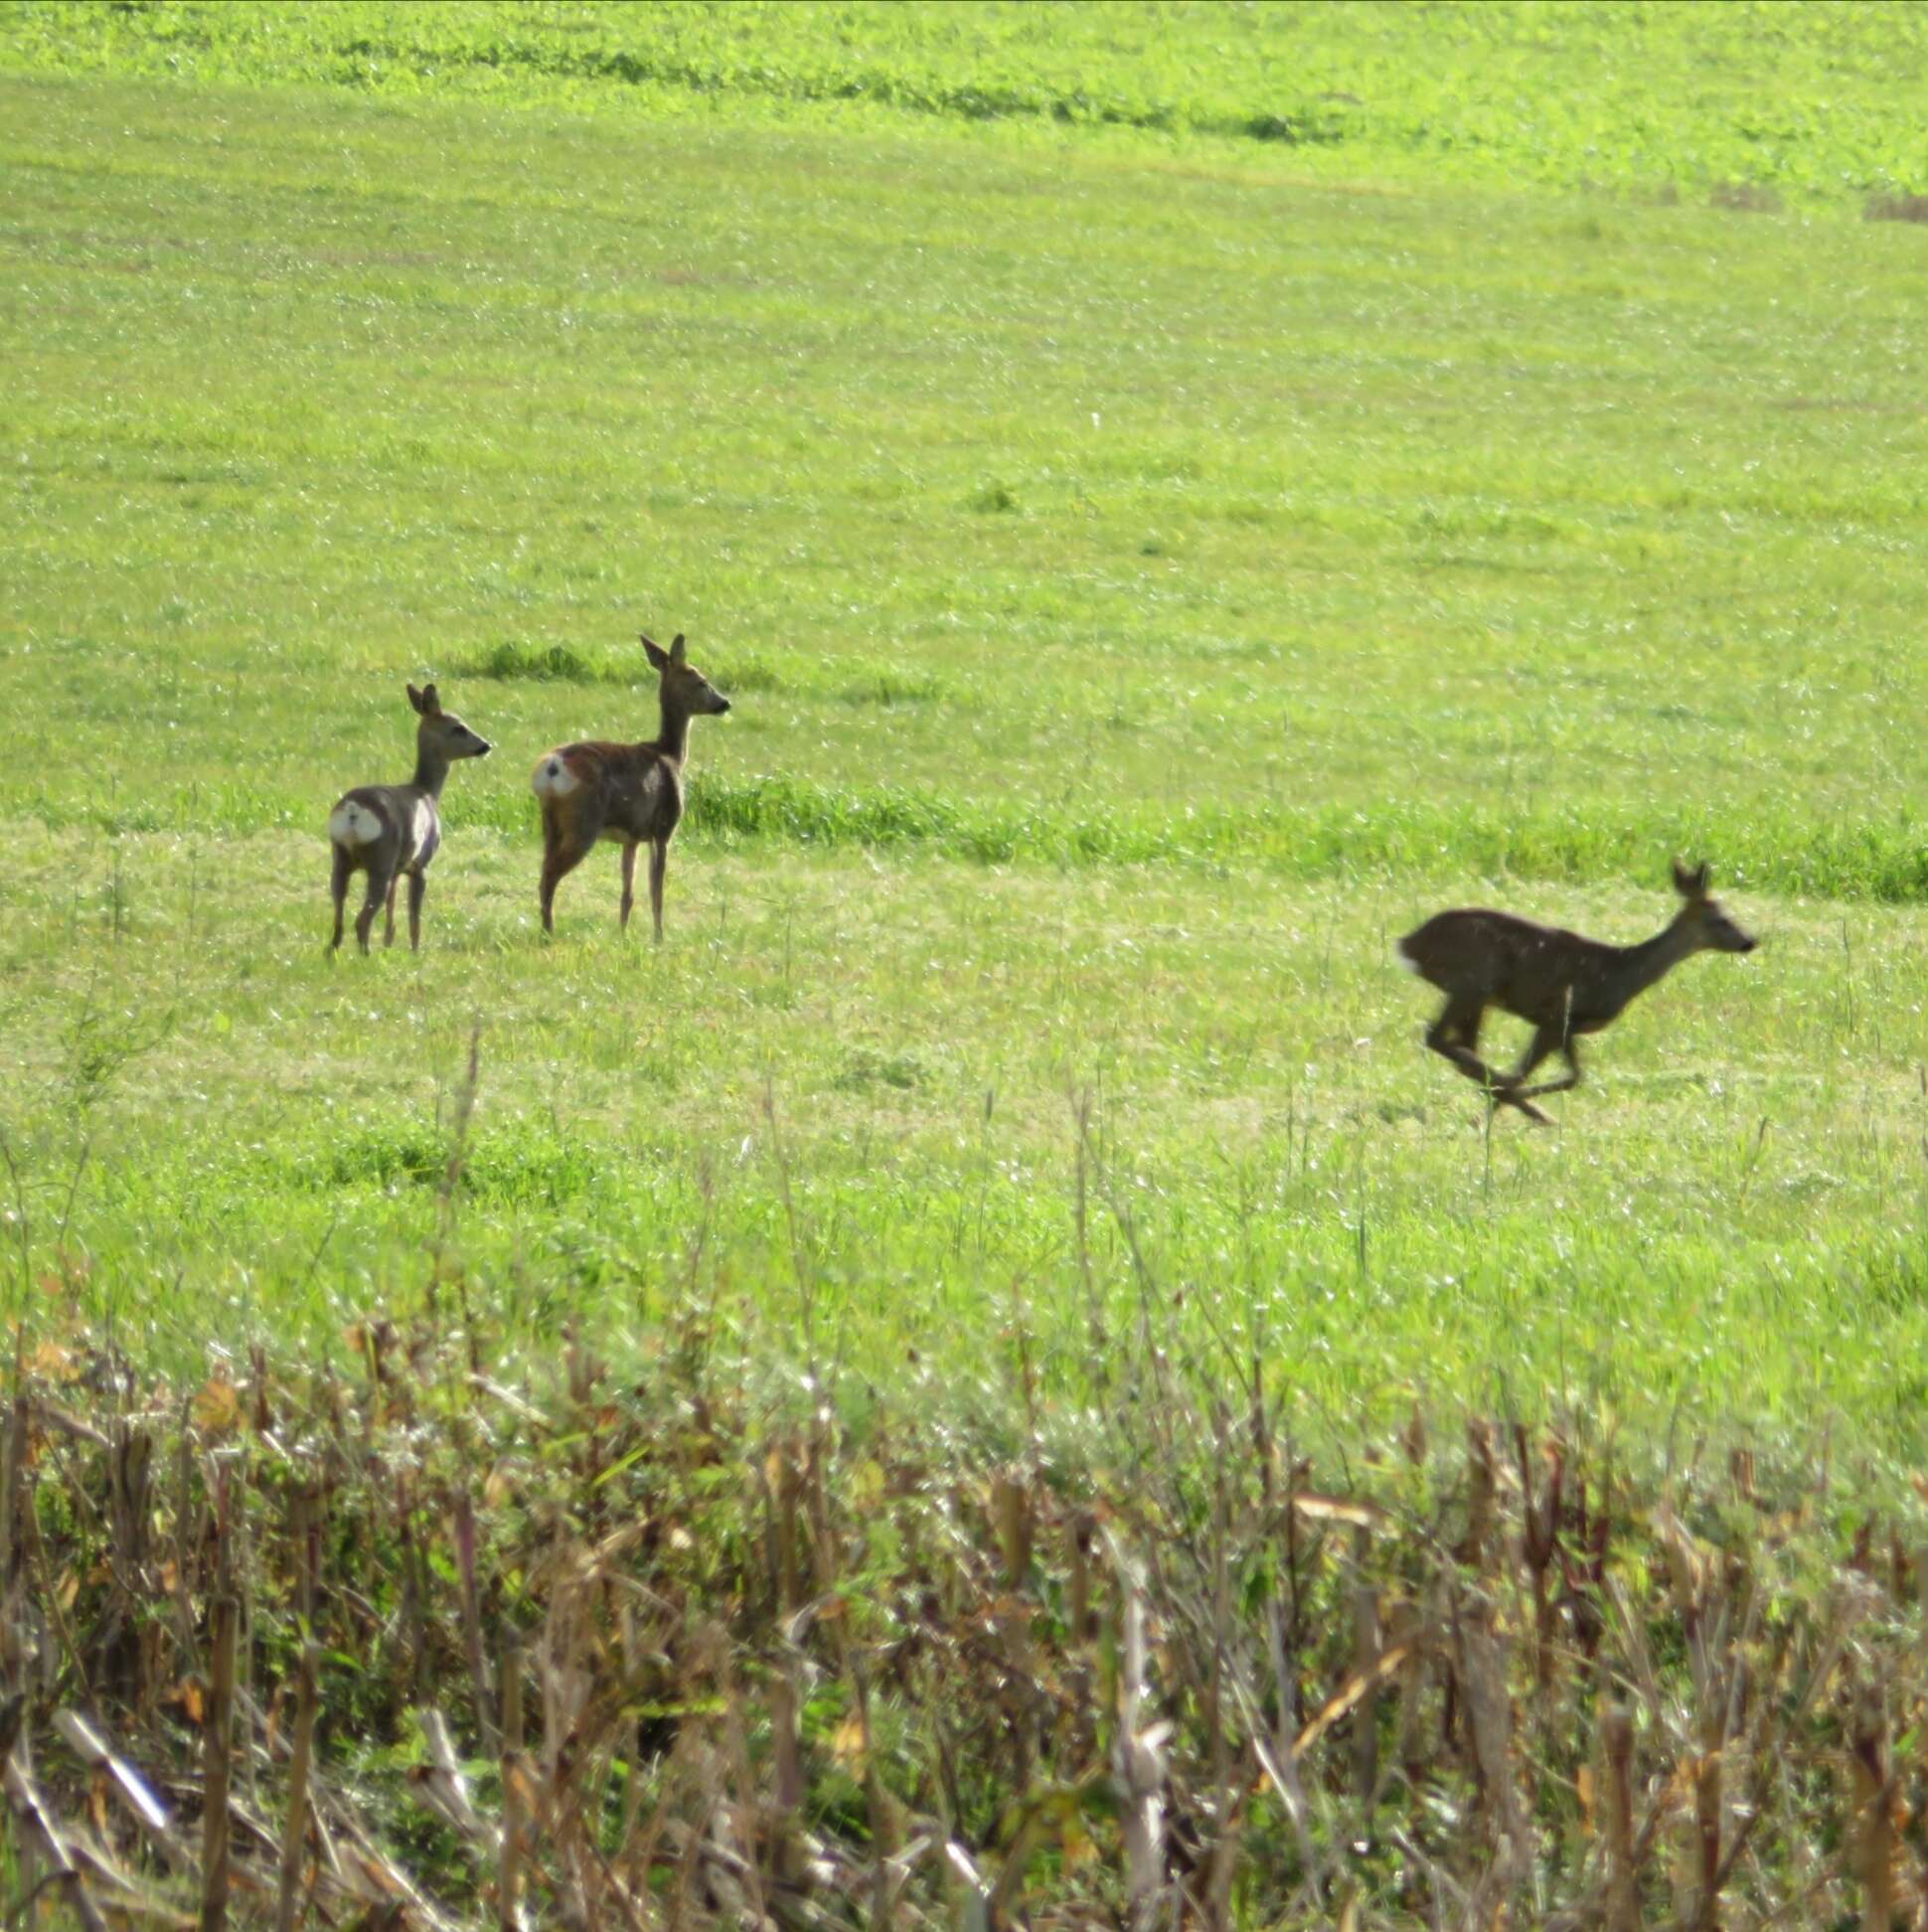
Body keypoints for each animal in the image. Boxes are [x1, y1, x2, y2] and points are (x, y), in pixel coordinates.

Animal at [326, 684, 494, 954]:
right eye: (459, 727)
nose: (485, 745)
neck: (426, 792)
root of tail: (353, 811)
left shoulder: (398, 867)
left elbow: (392, 911)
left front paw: (389, 944)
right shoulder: (420, 864)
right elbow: (414, 914)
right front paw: (416, 952)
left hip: (341, 857)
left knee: (339, 916)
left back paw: (334, 955)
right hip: (380, 859)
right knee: (362, 919)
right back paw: (366, 956)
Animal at [529, 629, 729, 938]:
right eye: (701, 681)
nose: (724, 703)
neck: (670, 755)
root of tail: (552, 768)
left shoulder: (632, 837)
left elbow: (628, 892)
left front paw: (622, 934)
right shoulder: (663, 829)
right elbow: (656, 891)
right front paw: (659, 938)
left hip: (550, 823)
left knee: (543, 873)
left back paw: (546, 929)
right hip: (583, 824)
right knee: (549, 876)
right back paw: (550, 932)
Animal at [1398, 858, 1761, 1128]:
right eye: (1721, 919)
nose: (1750, 941)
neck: (1621, 973)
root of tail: (1409, 943)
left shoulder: (1565, 1026)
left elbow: (1574, 1077)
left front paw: (1502, 1106)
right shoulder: (1556, 1015)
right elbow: (1531, 1074)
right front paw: (1499, 1110)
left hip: (1478, 995)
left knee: (1460, 1046)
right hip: (1475, 980)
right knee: (1438, 1037)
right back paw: (1522, 1105)